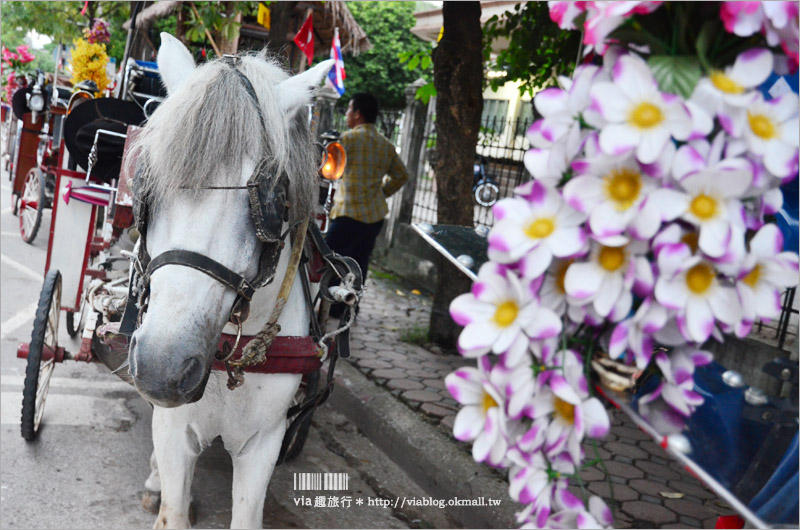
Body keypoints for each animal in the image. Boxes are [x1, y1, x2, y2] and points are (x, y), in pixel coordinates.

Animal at [126, 35, 332, 524]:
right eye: (147, 185)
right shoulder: (174, 428)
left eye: (270, 198)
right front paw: (162, 488)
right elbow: (174, 509)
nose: (163, 367)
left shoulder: (265, 441)